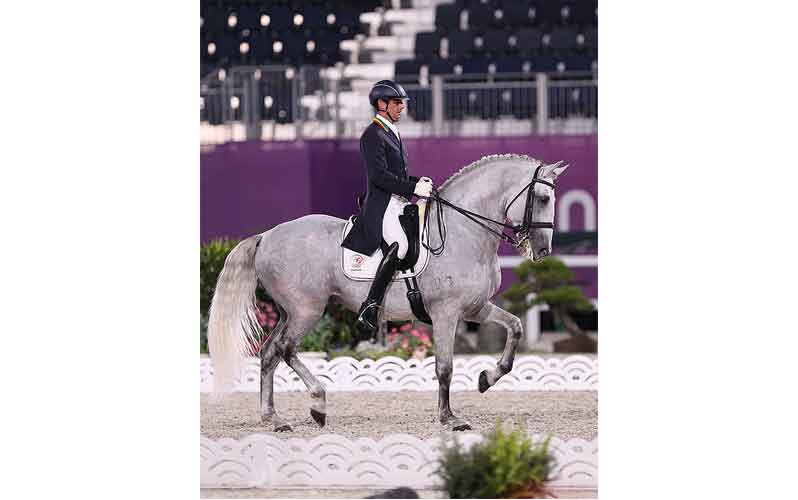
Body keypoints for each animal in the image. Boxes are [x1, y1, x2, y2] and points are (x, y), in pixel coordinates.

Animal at [208, 154, 569, 432]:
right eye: (543, 199)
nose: (543, 250)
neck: (465, 233)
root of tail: (267, 235)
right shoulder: (446, 313)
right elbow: (445, 367)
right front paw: (450, 418)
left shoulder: (475, 308)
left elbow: (515, 328)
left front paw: (486, 379)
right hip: (307, 310)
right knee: (286, 349)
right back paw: (318, 404)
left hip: (289, 311)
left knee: (269, 353)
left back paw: (274, 418)